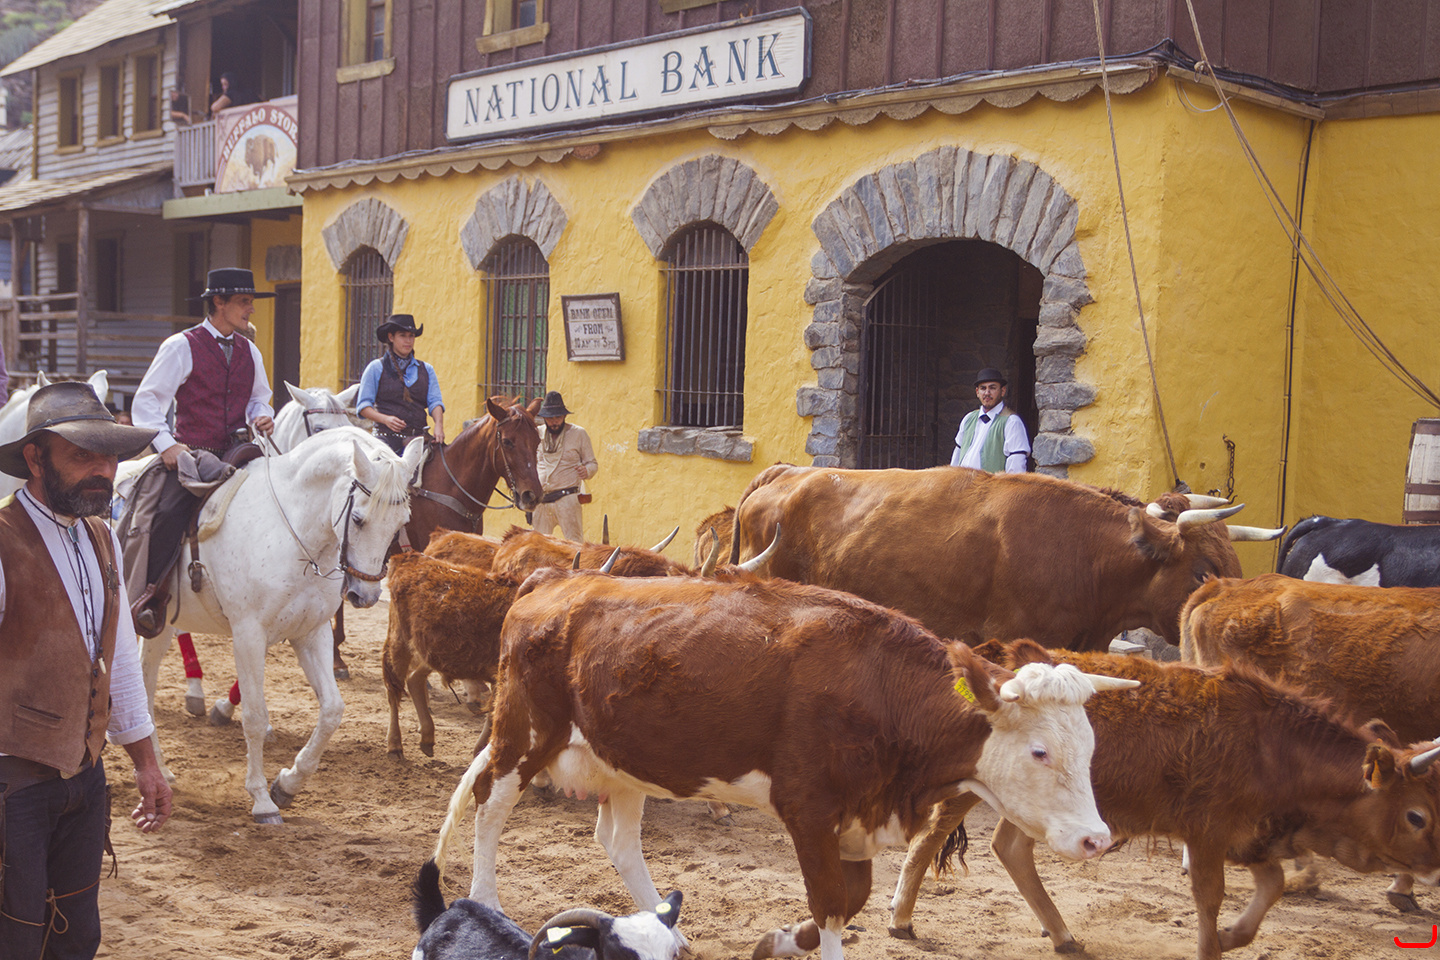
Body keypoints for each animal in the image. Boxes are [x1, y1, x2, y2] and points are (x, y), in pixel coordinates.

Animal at [137, 426, 423, 823]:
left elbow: (332, 710)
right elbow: (255, 716)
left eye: (401, 523)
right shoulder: (248, 635)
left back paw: (161, 772)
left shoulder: (311, 633)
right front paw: (261, 799)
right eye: (358, 519)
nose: (365, 595)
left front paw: (287, 784)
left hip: (160, 626)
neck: (296, 535)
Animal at [432, 569, 1138, 960]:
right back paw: (486, 902)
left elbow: (851, 899)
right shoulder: (810, 809)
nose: (1096, 838)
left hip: (622, 760)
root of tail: (553, 580)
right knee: (491, 806)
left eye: (1090, 747)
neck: (879, 686)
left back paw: (666, 926)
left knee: (618, 840)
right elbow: (830, 906)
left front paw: (772, 942)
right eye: (1040, 751)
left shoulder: (853, 819)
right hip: (524, 735)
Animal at [888, 641, 1440, 960]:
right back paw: (900, 918)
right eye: (1416, 815)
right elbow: (1210, 898)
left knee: (1011, 847)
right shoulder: (1209, 834)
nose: (1435, 868)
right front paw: (1212, 946)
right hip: (972, 790)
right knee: (931, 839)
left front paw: (1232, 937)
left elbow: (1273, 887)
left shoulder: (1251, 836)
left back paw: (1062, 934)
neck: (1270, 746)